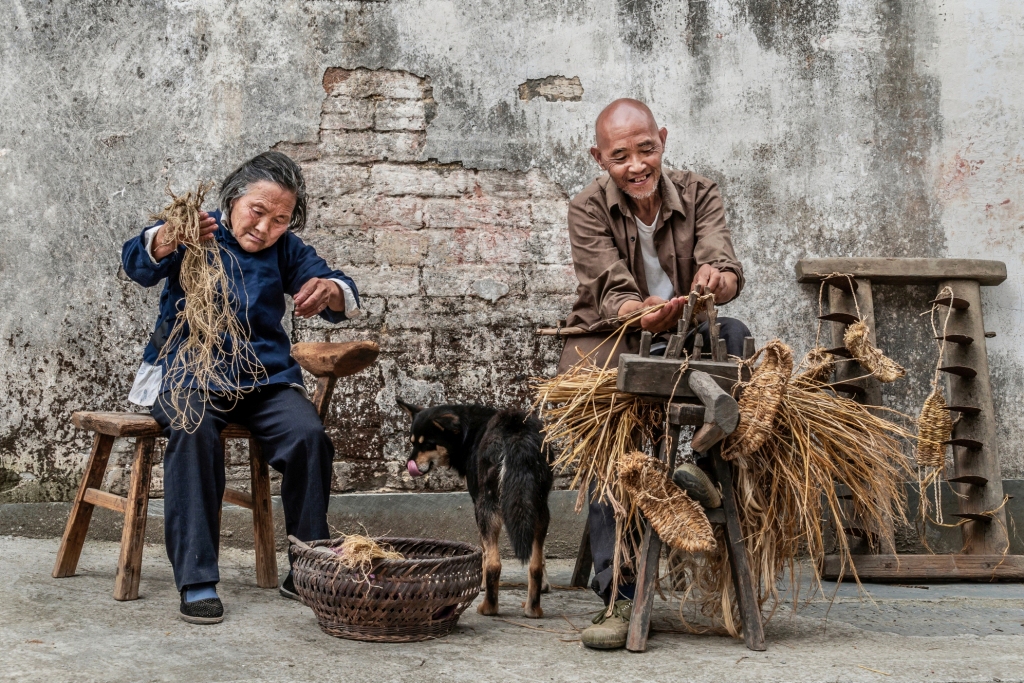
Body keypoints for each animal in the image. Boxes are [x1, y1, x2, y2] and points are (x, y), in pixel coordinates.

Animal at [397, 401, 557, 618]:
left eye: (428, 444)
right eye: (413, 442)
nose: (408, 465)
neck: (467, 433)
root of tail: (515, 431)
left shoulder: (477, 503)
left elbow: (484, 552)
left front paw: (480, 583)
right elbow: (542, 557)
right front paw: (545, 584)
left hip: (487, 507)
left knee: (494, 564)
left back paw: (488, 607)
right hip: (538, 507)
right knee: (534, 566)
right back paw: (533, 609)